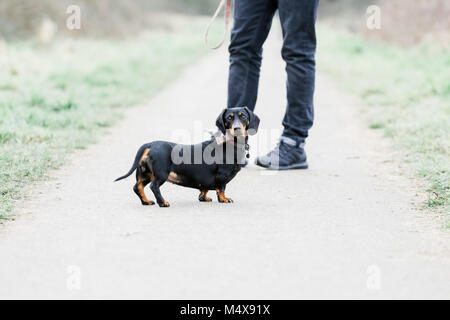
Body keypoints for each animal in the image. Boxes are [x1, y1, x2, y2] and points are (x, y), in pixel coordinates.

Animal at [114, 107, 258, 208]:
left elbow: (204, 189)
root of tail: (150, 144)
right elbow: (221, 188)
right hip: (161, 173)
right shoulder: (222, 175)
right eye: (229, 118)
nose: (237, 128)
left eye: (243, 116)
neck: (229, 143)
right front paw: (224, 199)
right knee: (154, 186)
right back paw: (162, 202)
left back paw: (146, 201)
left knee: (137, 187)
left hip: (145, 172)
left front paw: (204, 198)